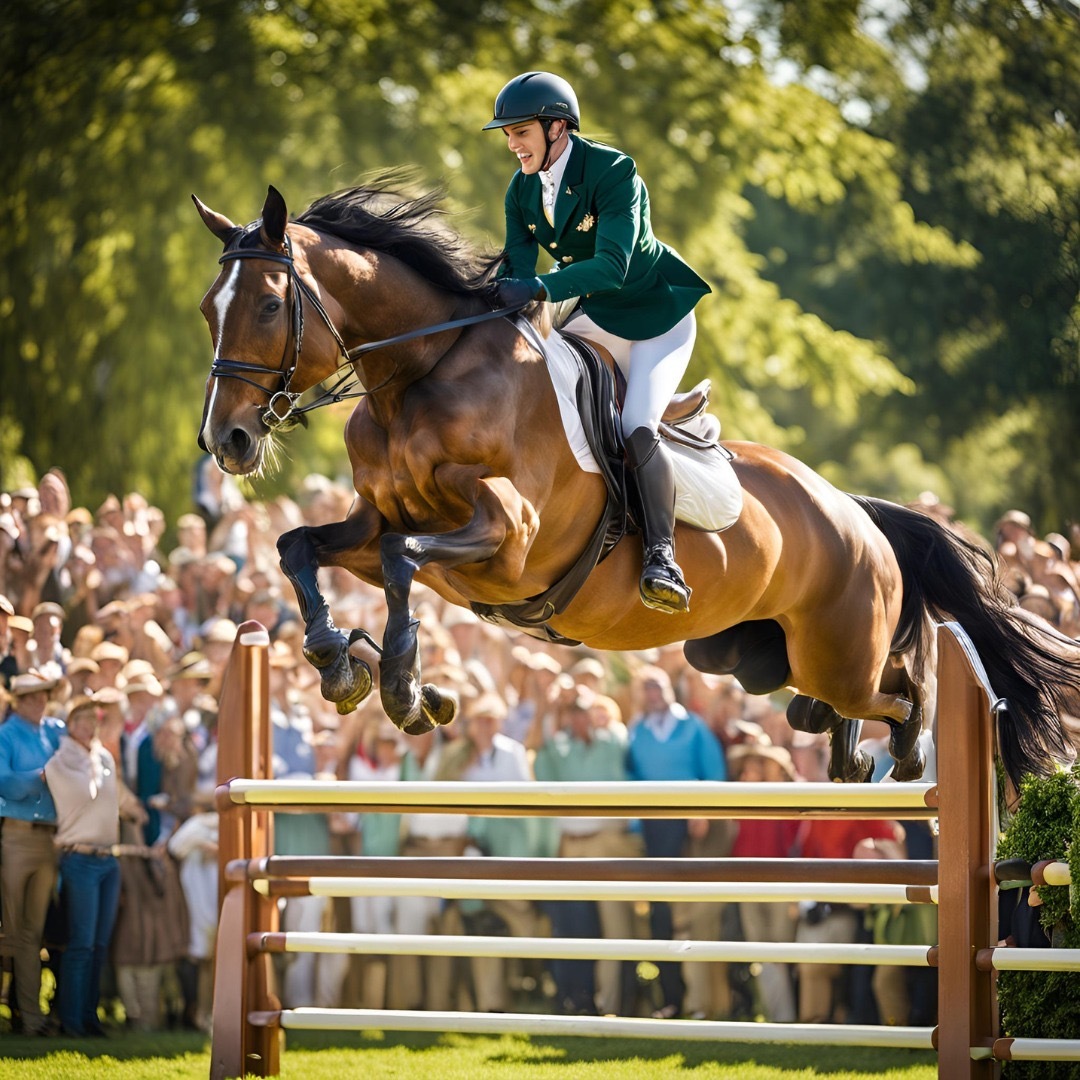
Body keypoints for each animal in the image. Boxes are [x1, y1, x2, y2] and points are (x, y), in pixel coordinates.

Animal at [190, 177, 1075, 786]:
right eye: (208, 309)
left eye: (267, 305)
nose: (226, 440)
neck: (422, 374)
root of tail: (854, 511)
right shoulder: (374, 521)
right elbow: (302, 547)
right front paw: (339, 661)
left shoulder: (508, 538)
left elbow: (405, 559)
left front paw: (406, 687)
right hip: (746, 657)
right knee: (833, 695)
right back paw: (840, 742)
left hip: (841, 645)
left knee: (907, 680)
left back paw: (907, 746)